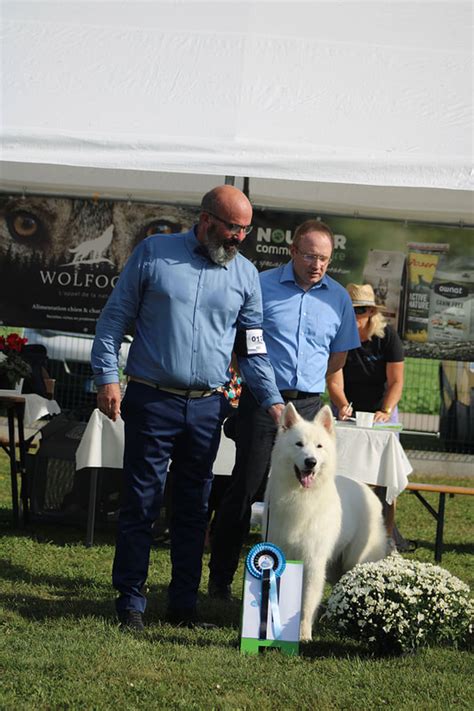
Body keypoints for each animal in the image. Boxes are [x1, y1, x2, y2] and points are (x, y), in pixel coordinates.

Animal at [262, 404, 388, 644]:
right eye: (299, 444)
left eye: (319, 446)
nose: (311, 462)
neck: (300, 497)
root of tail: (366, 489)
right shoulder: (279, 554)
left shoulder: (313, 561)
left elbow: (307, 602)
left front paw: (303, 635)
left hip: (354, 560)